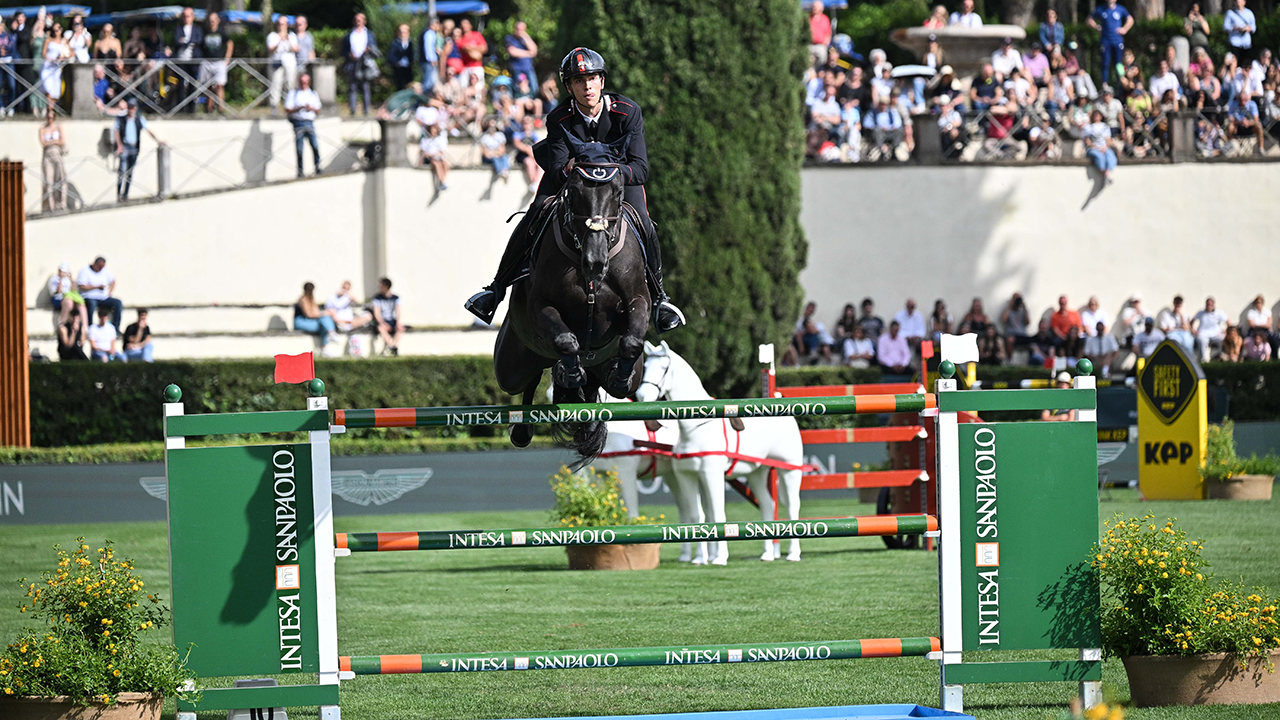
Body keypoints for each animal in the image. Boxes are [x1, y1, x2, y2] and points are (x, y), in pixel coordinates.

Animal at [488, 143, 650, 461]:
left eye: (618, 192)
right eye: (574, 191)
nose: (595, 262)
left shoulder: (638, 301)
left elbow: (631, 341)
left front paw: (618, 378)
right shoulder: (540, 307)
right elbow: (565, 340)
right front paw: (570, 374)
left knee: (595, 385)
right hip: (510, 366)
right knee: (528, 380)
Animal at [634, 338, 803, 563]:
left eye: (665, 368)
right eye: (645, 366)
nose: (642, 395)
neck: (695, 428)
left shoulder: (711, 474)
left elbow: (717, 515)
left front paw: (720, 557)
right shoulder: (687, 475)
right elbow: (697, 516)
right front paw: (699, 559)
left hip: (789, 469)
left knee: (792, 507)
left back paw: (793, 553)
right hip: (757, 472)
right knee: (768, 505)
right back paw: (767, 554)